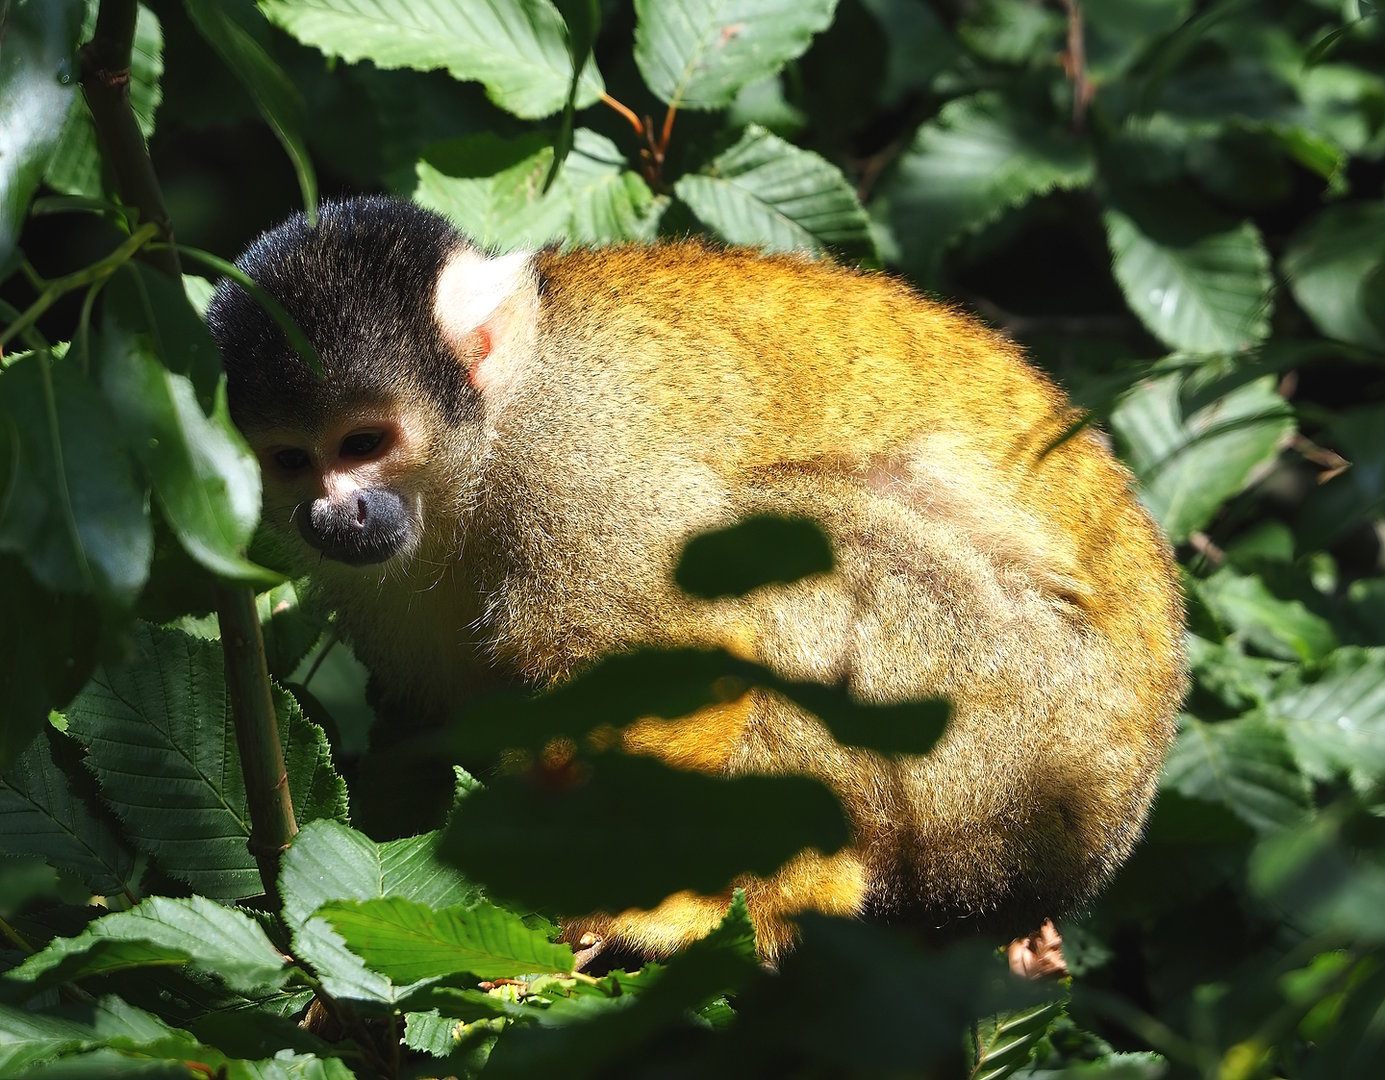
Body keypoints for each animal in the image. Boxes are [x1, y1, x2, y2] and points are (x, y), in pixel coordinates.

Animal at [205, 195, 1185, 964]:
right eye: (291, 459)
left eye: (365, 441)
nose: (335, 516)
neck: (482, 450)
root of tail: (1101, 838)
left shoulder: (579, 453)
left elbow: (676, 652)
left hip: (1016, 744)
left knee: (809, 540)